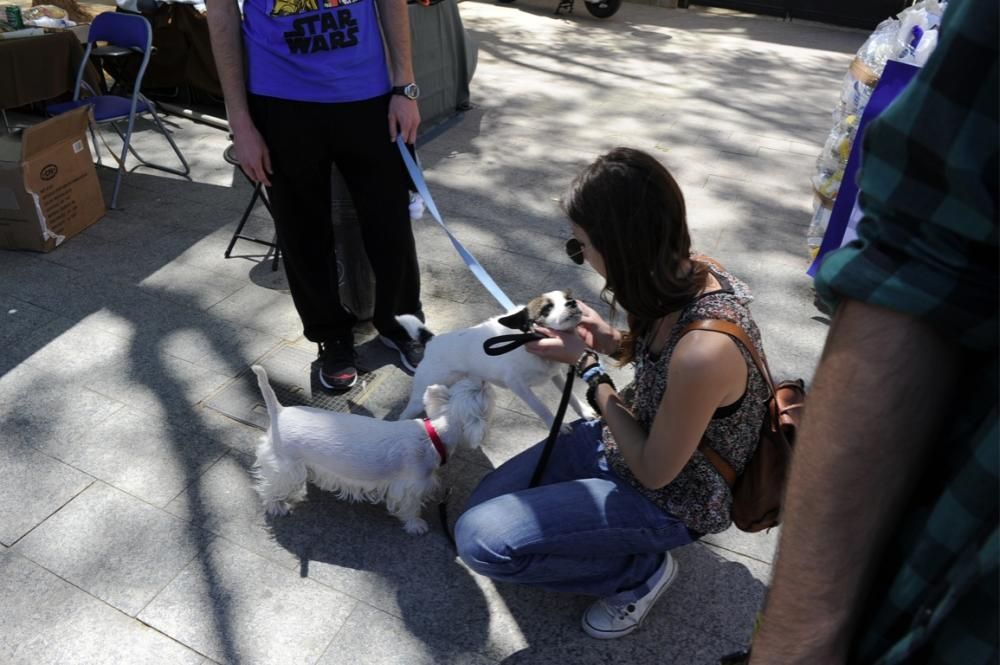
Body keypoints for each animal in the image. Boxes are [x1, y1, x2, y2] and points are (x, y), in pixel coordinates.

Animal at [250, 364, 492, 536]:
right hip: (284, 466)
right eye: (482, 393)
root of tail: (279, 411)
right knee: (271, 486)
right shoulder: (411, 485)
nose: (483, 379)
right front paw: (416, 525)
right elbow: (411, 507)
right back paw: (277, 506)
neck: (434, 434)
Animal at [392, 290, 592, 426]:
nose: (573, 302)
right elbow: (541, 407)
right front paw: (555, 425)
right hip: (419, 396)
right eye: (547, 308)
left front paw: (584, 411)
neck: (528, 339)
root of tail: (433, 341)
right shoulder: (519, 387)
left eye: (567, 298)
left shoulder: (555, 375)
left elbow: (571, 396)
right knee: (404, 415)